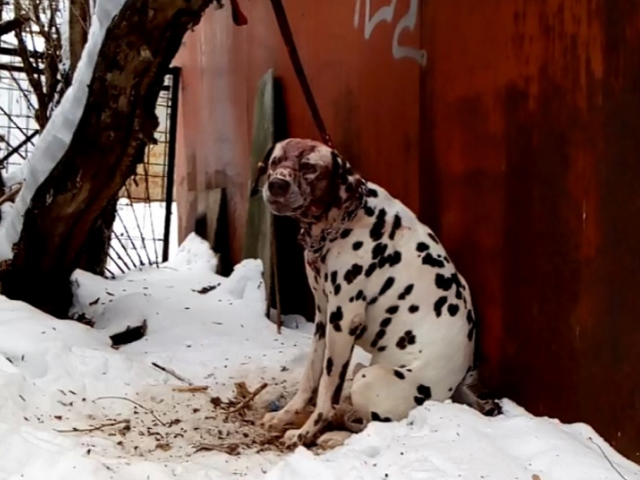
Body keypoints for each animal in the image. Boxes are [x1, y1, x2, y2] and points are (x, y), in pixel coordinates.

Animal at [256, 137, 500, 448]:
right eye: (275, 161)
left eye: (309, 167)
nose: (276, 184)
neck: (345, 219)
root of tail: (447, 395)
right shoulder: (323, 318)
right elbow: (309, 379)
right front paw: (285, 416)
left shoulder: (342, 324)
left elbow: (326, 392)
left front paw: (306, 433)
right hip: (363, 368)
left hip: (367, 380)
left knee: (370, 425)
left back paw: (335, 435)